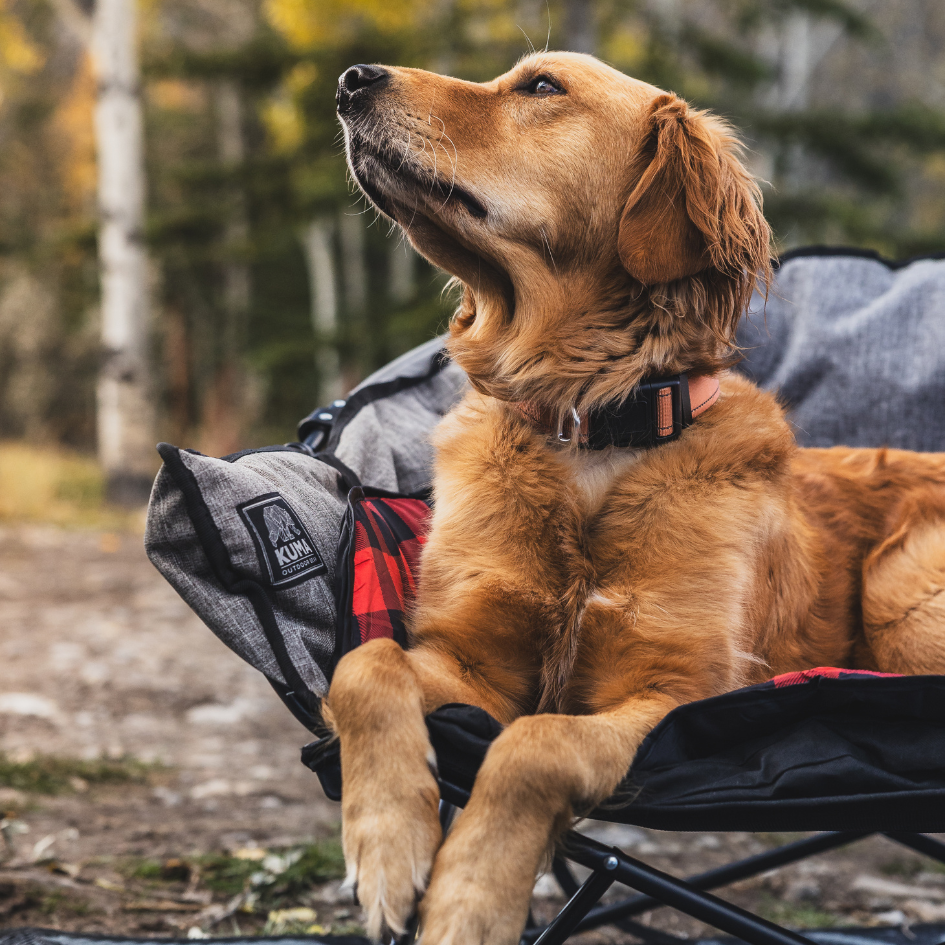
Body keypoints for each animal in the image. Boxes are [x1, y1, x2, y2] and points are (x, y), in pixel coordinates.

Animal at [322, 53, 944, 944]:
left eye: (540, 88)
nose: (350, 80)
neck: (592, 427)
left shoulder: (674, 698)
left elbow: (535, 745)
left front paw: (469, 899)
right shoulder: (469, 665)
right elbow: (362, 665)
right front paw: (386, 846)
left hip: (901, 597)